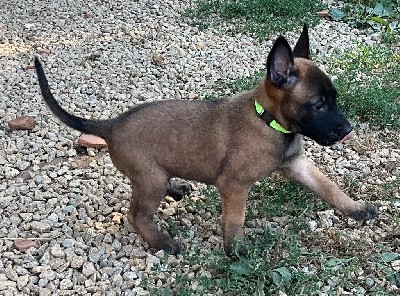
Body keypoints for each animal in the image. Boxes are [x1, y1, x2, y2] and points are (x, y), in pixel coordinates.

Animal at [35, 25, 378, 256]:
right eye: (319, 105)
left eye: (334, 99)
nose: (347, 130)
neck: (268, 121)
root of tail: (112, 125)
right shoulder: (234, 185)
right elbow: (236, 219)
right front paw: (235, 252)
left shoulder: (296, 164)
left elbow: (328, 187)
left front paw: (356, 209)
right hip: (150, 179)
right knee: (137, 215)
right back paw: (163, 242)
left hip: (152, 177)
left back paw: (176, 188)